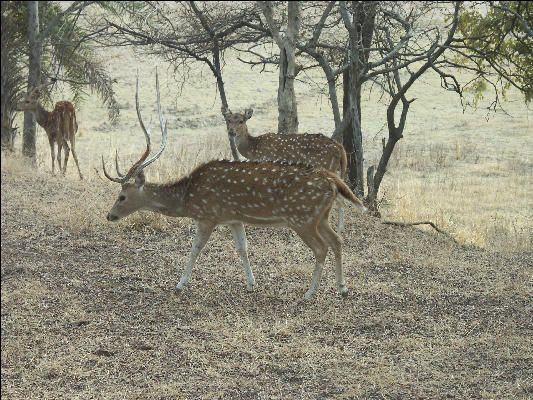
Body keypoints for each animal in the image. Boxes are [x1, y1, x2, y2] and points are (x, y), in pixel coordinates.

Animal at [221, 108, 350, 234]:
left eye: (241, 121)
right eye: (228, 120)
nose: (231, 132)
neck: (253, 150)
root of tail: (340, 148)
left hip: (327, 167)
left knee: (340, 200)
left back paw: (339, 230)